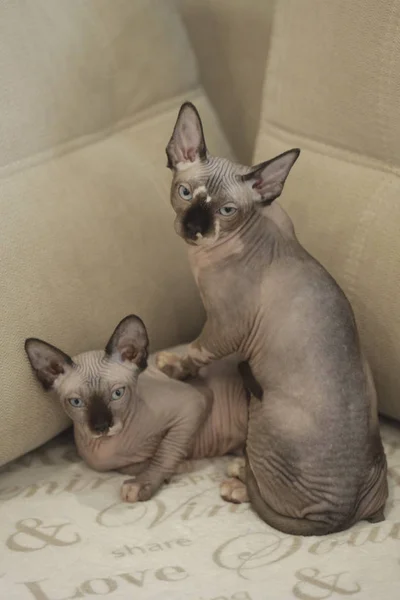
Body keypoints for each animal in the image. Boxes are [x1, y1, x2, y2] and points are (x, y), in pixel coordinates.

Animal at [24, 314, 247, 502]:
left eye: (118, 393)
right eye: (76, 402)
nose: (101, 426)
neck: (110, 444)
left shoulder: (195, 402)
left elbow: (166, 450)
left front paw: (144, 483)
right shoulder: (104, 462)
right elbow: (135, 464)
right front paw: (177, 466)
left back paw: (237, 484)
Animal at [155, 102, 388, 536]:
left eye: (227, 211)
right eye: (184, 193)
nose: (195, 228)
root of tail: (342, 514)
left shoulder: (225, 328)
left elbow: (196, 351)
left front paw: (174, 367)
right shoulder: (279, 212)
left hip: (263, 411)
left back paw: (236, 478)